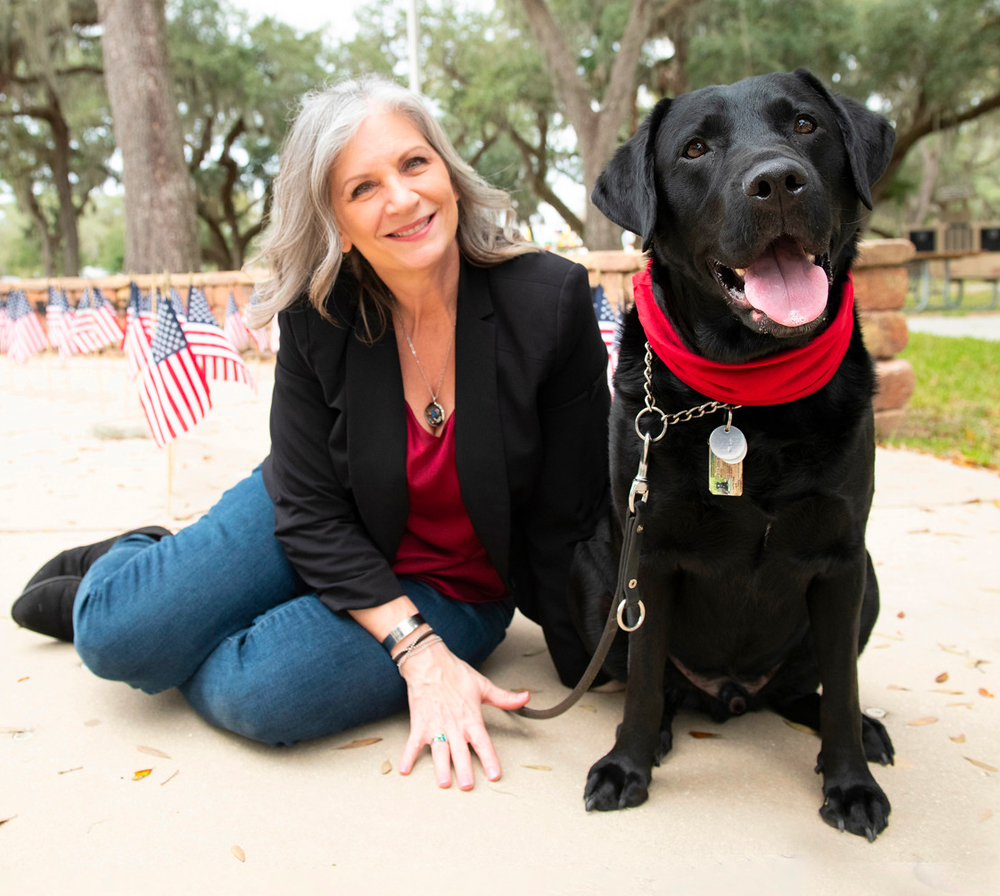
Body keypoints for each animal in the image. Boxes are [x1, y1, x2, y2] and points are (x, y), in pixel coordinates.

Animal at [572, 70, 900, 840]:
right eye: (695, 148)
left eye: (806, 124)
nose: (777, 181)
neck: (749, 397)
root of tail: (730, 694)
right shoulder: (651, 553)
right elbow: (642, 677)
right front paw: (626, 765)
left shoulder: (841, 556)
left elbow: (843, 686)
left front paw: (851, 784)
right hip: (597, 574)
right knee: (651, 678)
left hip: (869, 581)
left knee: (809, 687)